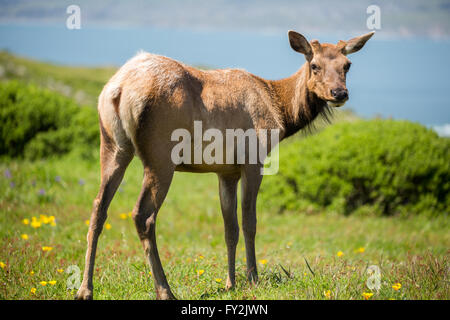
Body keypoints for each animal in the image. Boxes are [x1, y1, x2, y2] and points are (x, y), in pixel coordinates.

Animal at [75, 30, 374, 300]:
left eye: (347, 65)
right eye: (314, 65)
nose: (339, 92)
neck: (281, 115)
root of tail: (118, 89)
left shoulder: (226, 171)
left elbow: (229, 228)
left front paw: (231, 283)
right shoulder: (254, 159)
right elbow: (249, 221)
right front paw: (253, 280)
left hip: (113, 146)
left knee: (98, 208)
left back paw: (85, 290)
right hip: (160, 154)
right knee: (143, 215)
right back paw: (165, 291)